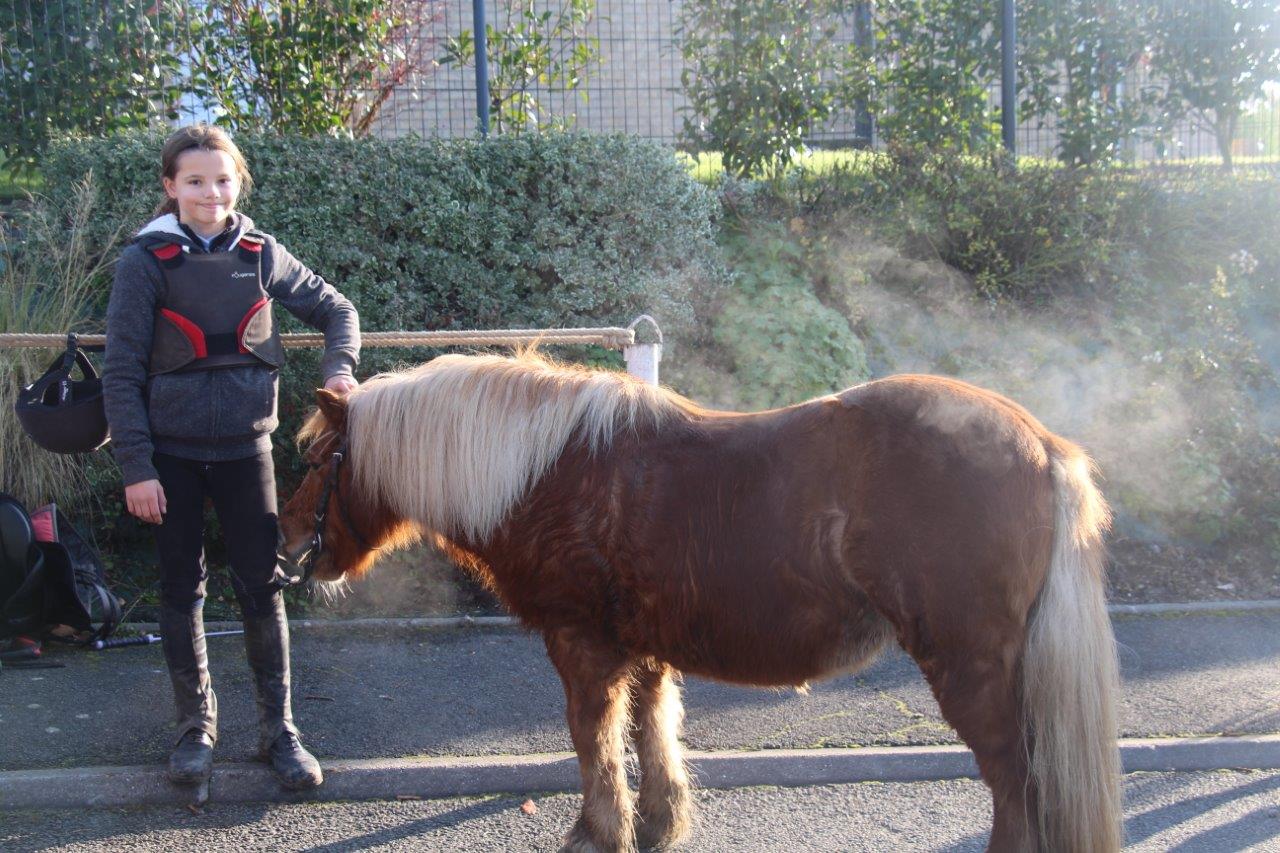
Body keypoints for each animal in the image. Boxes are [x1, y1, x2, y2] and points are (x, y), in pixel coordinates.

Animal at [280, 348, 1121, 845]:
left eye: (320, 459)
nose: (289, 541)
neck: (542, 470)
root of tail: (1043, 444)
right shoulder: (645, 647)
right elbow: (652, 728)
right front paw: (658, 821)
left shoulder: (581, 647)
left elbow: (593, 742)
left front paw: (599, 830)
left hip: (970, 668)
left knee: (1015, 782)